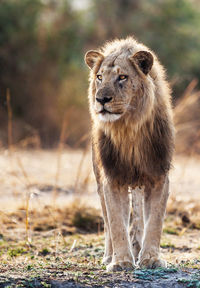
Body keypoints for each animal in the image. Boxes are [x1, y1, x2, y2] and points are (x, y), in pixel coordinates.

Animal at [83, 36, 174, 272]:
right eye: (99, 77)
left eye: (122, 77)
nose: (101, 99)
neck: (128, 128)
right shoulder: (112, 178)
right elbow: (116, 222)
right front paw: (121, 261)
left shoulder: (158, 176)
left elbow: (154, 221)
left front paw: (151, 258)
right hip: (99, 180)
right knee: (107, 220)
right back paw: (109, 256)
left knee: (139, 216)